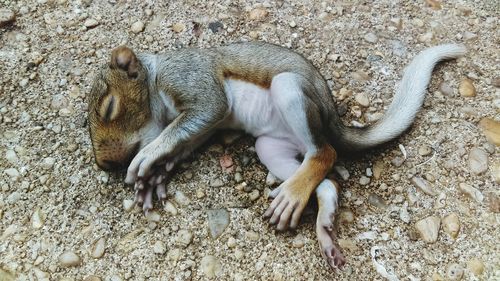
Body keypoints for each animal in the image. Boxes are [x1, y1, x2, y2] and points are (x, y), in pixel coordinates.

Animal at [86, 41, 464, 266]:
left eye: (109, 107)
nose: (104, 164)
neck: (154, 79)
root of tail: (330, 119)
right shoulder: (204, 128)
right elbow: (184, 141)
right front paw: (156, 177)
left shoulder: (192, 83)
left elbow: (190, 120)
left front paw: (148, 158)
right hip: (270, 148)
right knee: (324, 181)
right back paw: (320, 224)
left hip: (289, 89)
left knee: (325, 153)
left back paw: (295, 196)